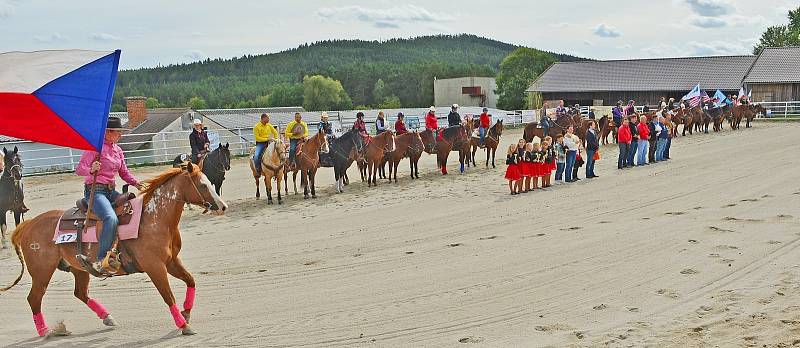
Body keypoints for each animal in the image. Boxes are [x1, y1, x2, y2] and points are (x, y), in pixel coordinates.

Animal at [0, 164, 225, 338]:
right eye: (203, 185)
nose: (222, 206)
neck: (154, 218)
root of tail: (29, 224)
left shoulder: (171, 262)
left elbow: (191, 281)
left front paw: (186, 313)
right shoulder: (155, 267)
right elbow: (168, 296)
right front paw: (184, 325)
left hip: (79, 268)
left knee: (80, 293)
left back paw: (107, 318)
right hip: (41, 272)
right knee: (34, 298)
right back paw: (45, 331)